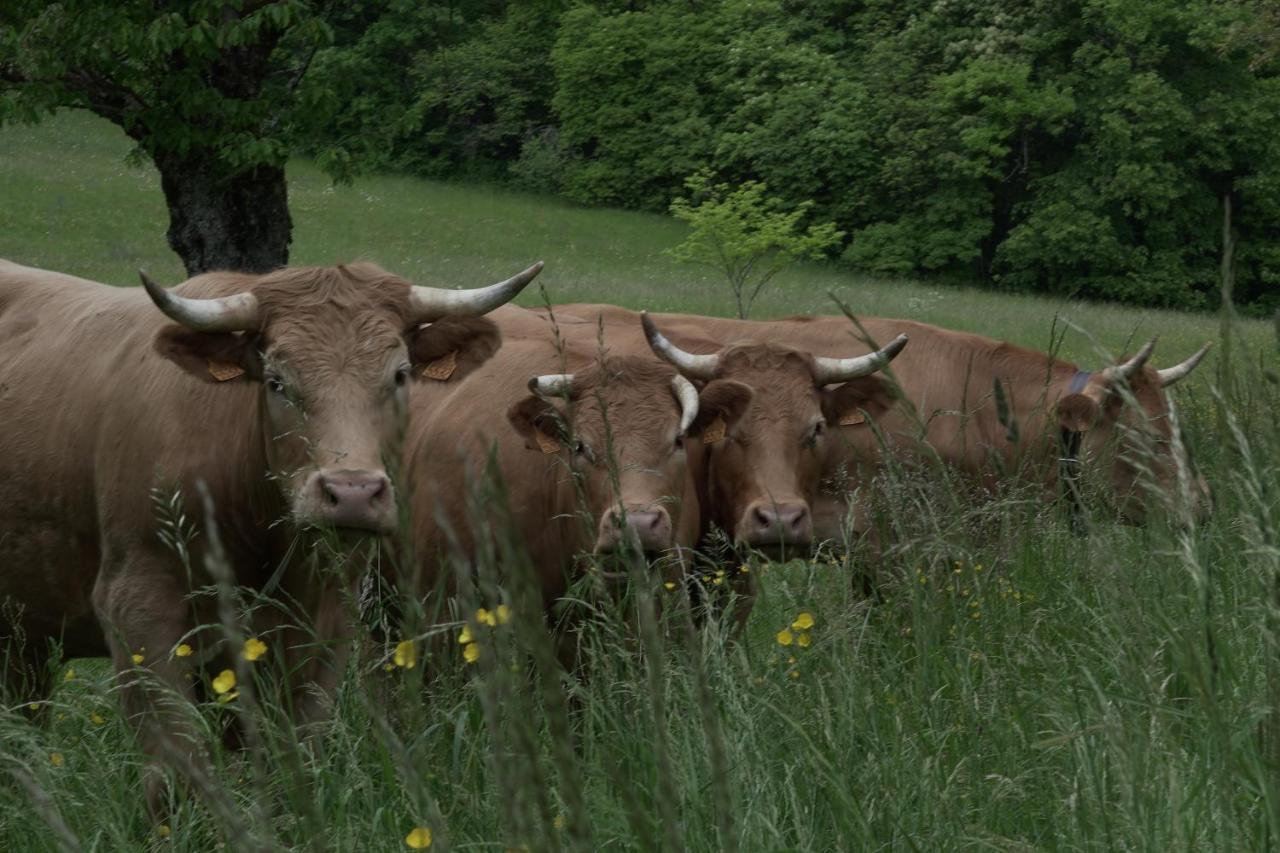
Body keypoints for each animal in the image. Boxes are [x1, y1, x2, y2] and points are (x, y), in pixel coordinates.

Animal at [0, 257, 540, 809]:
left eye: (400, 374)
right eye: (277, 382)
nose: (352, 493)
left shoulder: (323, 622)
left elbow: (293, 757)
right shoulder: (137, 607)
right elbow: (176, 771)